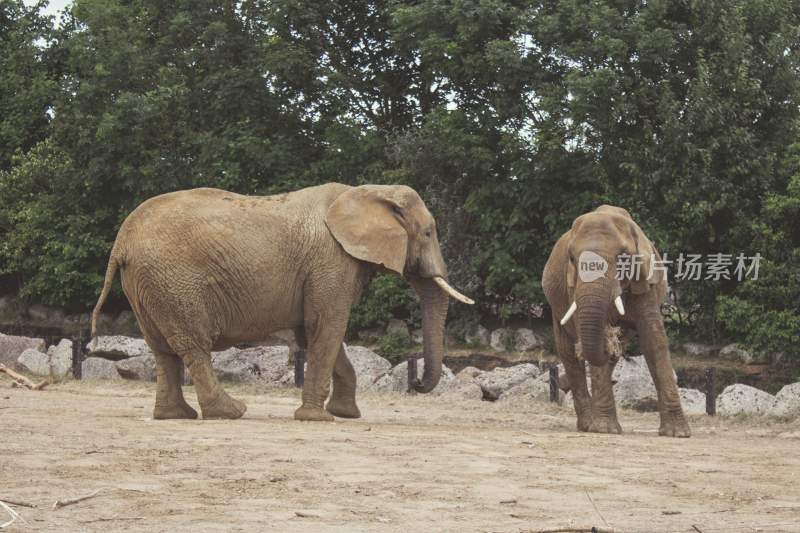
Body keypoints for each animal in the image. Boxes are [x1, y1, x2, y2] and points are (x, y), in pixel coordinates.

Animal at [91, 183, 472, 420]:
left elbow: (313, 332)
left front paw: (345, 415)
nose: (417, 383)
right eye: (428, 232)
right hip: (174, 282)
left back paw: (176, 416)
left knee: (162, 349)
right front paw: (317, 419)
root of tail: (121, 241)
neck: (369, 191)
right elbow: (327, 327)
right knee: (192, 345)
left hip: (148, 284)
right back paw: (232, 412)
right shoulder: (330, 262)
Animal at [540, 205, 692, 436]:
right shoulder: (572, 286)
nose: (610, 337)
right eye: (572, 259)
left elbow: (654, 340)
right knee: (568, 352)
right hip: (557, 307)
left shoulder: (646, 284)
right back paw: (587, 424)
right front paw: (605, 429)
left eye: (623, 258)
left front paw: (677, 433)